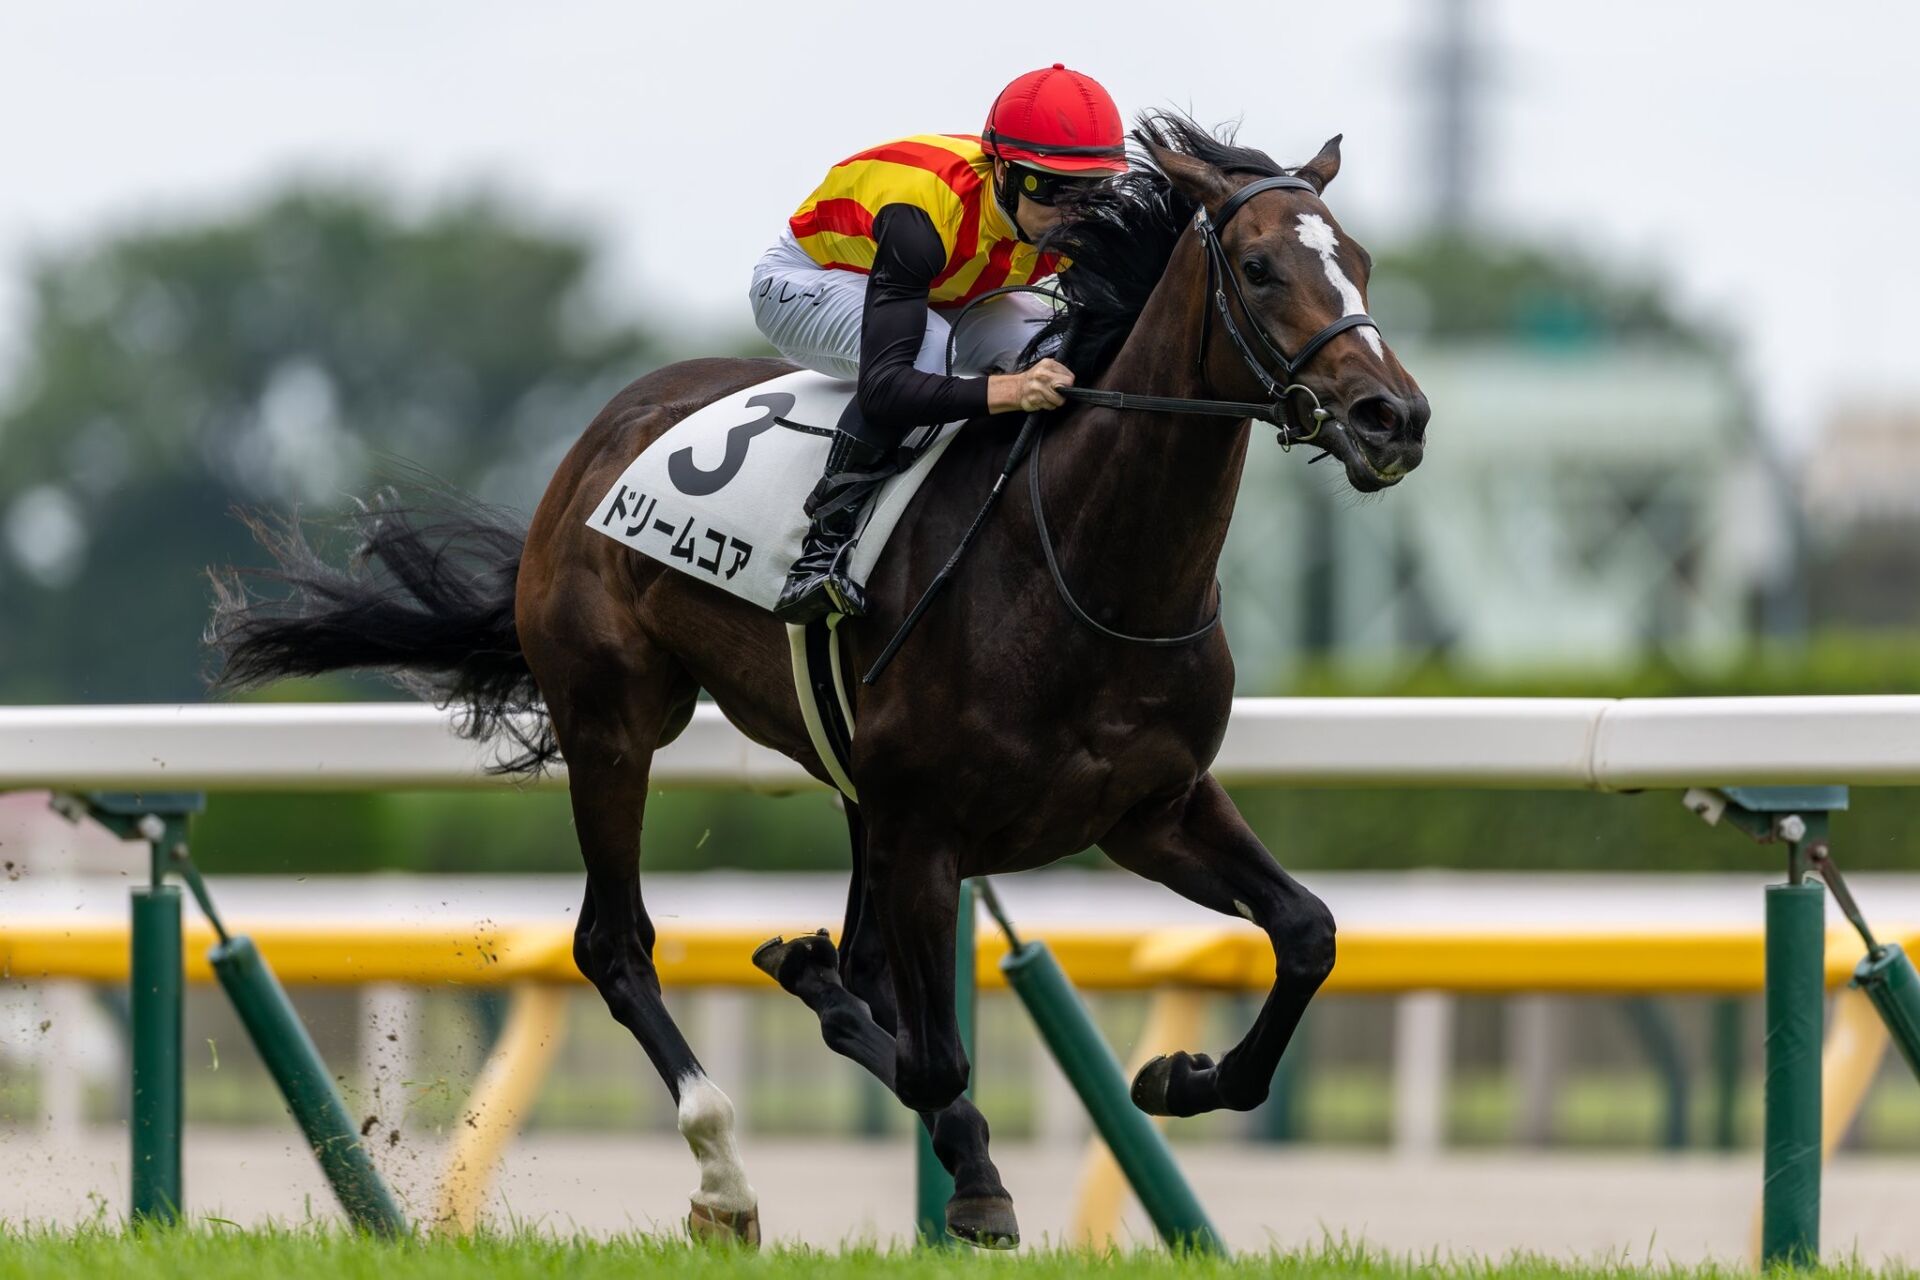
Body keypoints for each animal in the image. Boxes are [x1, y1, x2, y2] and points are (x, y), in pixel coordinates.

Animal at [208, 112, 1428, 1248]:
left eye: (1362, 262)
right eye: (1261, 267)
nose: (1394, 417)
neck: (1086, 568)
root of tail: (603, 434)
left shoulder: (1148, 809)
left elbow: (1308, 931)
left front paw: (1179, 1075)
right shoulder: (928, 827)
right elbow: (932, 1061)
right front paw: (970, 1174)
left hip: (848, 791)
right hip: (616, 721)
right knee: (616, 943)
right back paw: (724, 1177)